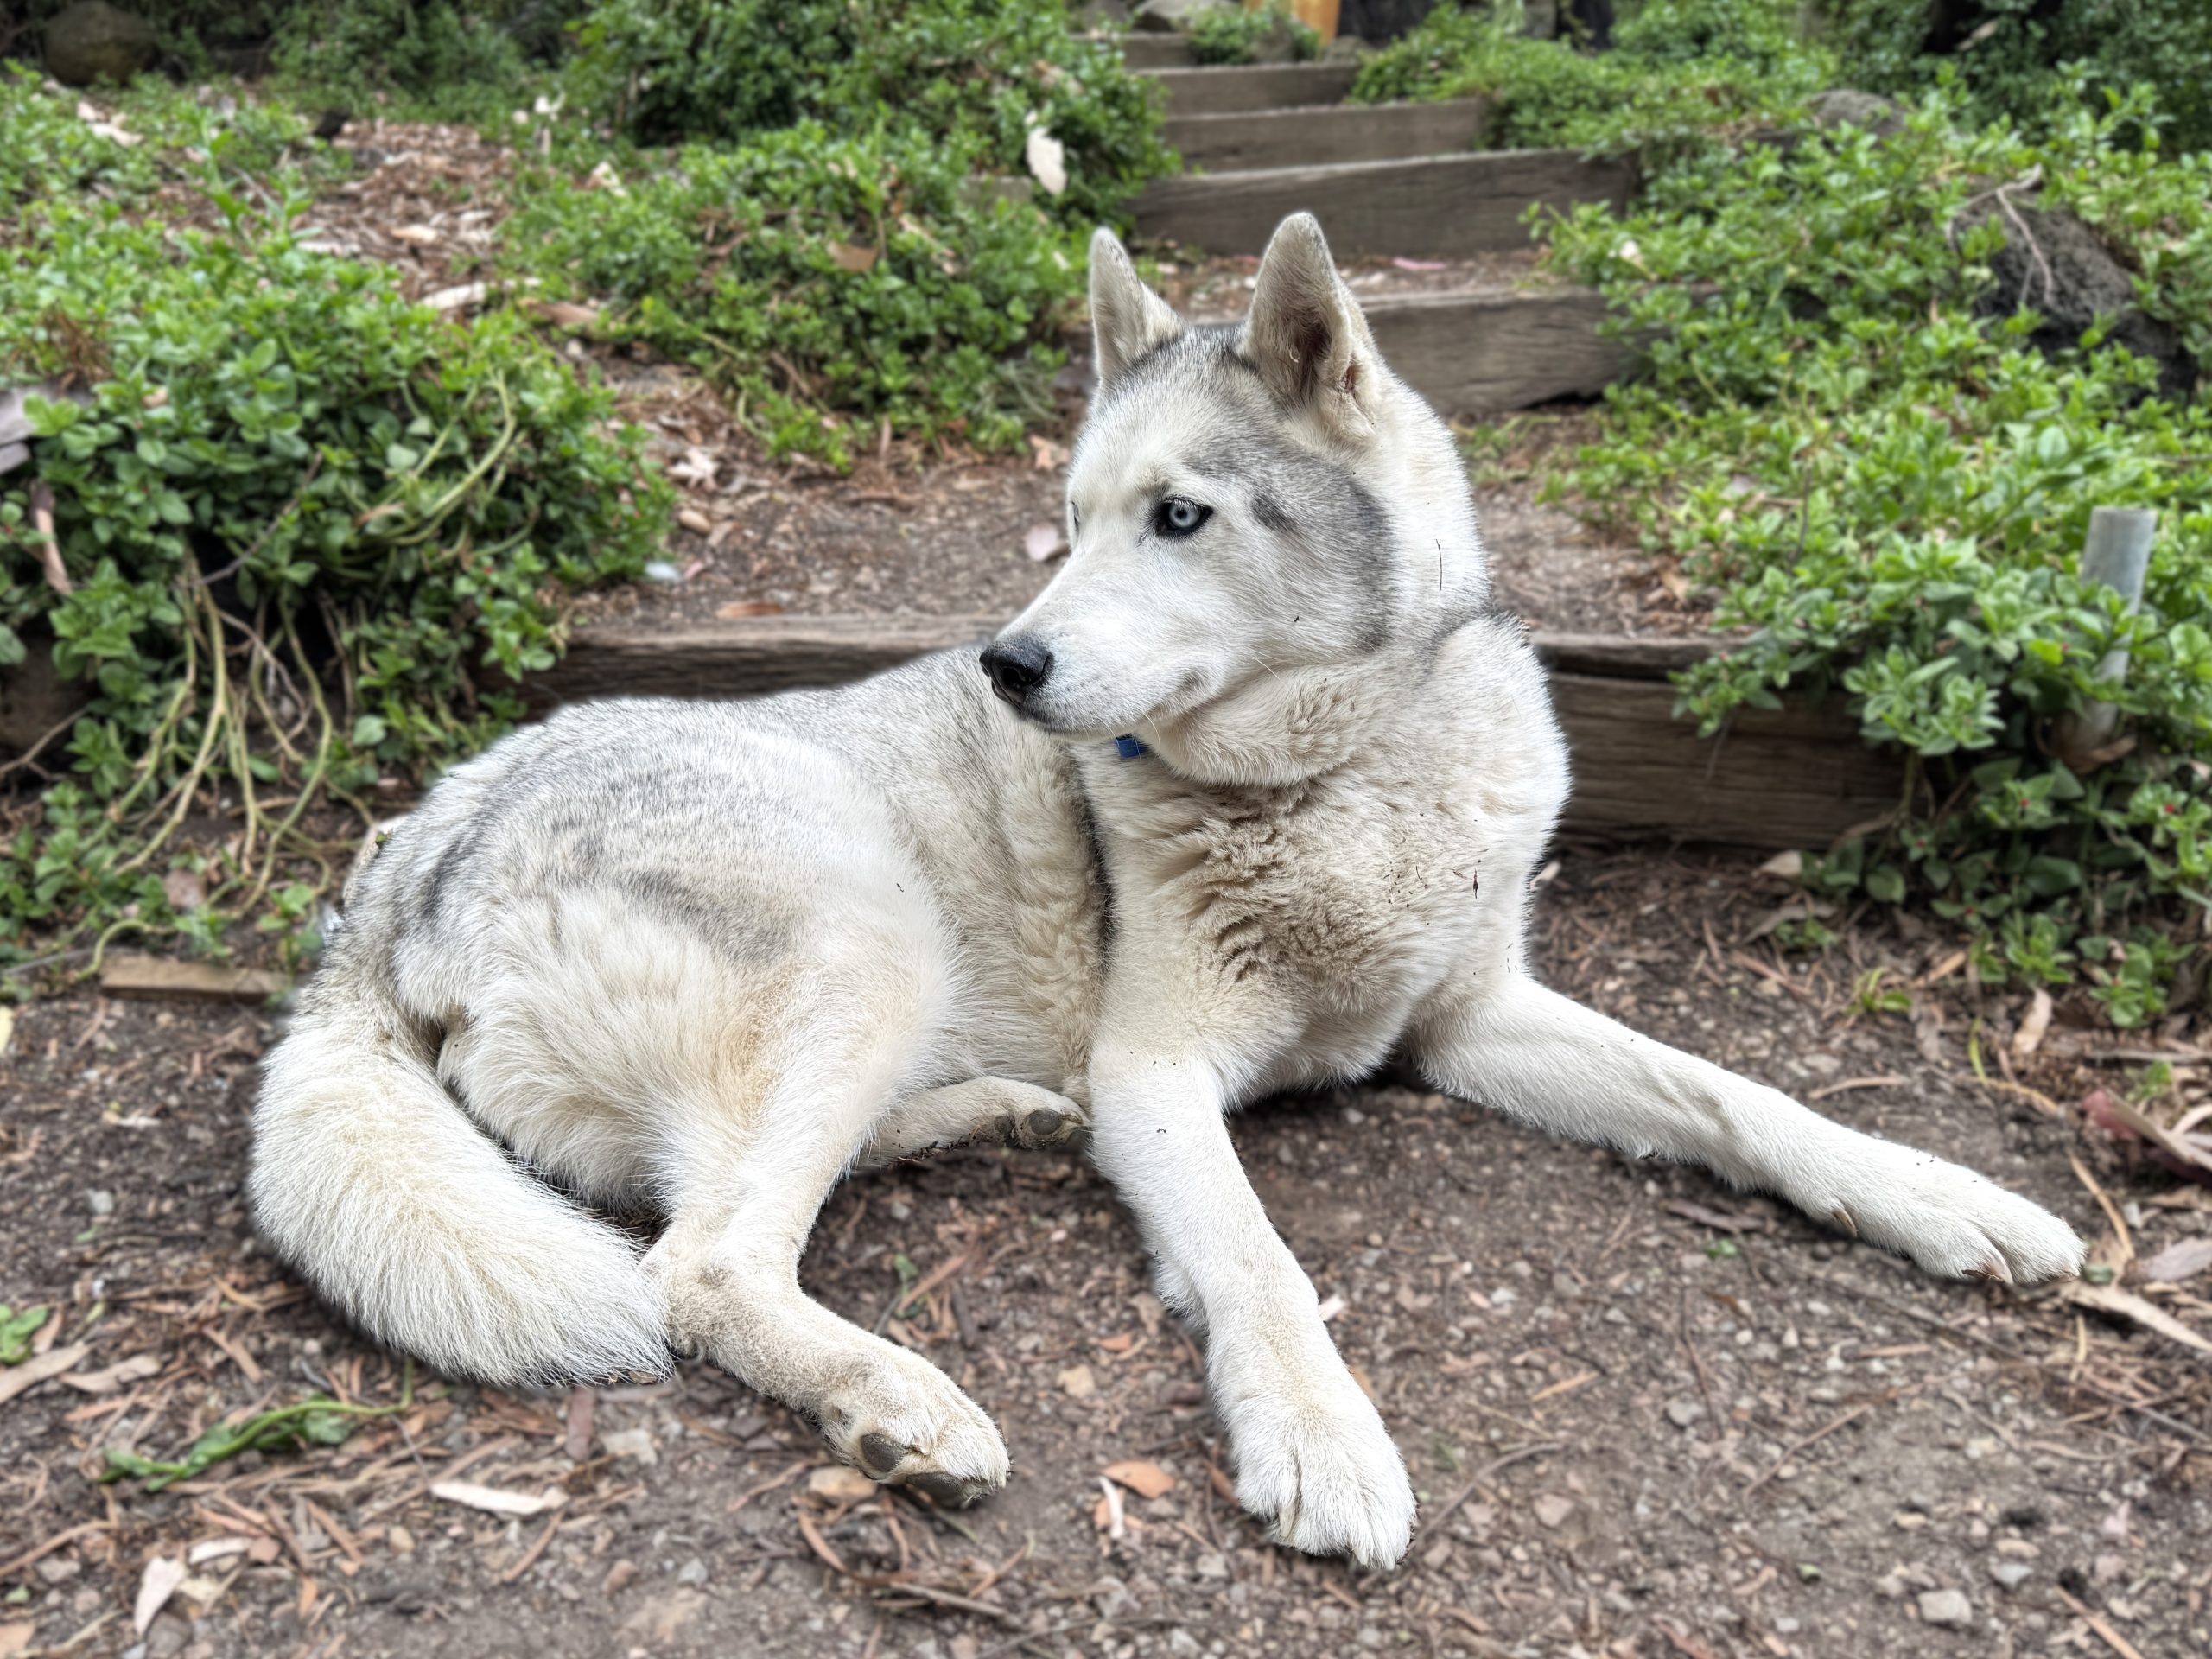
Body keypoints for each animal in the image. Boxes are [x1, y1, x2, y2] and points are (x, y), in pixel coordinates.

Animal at [251, 214, 2079, 1566]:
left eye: (1179, 517)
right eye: (1066, 523)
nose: (1008, 665)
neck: (1344, 776)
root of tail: (400, 868)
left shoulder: (1473, 1017)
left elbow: (1734, 1094)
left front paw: (1936, 1195)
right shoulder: (1159, 1070)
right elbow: (1260, 1258)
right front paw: (1320, 1434)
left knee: (732, 1190)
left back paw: (991, 1121)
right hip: (868, 925)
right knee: (699, 1264)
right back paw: (895, 1401)